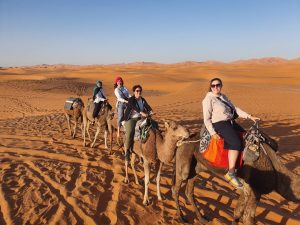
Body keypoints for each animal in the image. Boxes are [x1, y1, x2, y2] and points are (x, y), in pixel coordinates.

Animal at [171, 124, 300, 224]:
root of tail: (181, 141)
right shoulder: (255, 191)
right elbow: (248, 218)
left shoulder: (247, 189)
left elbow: (237, 212)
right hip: (184, 162)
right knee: (176, 188)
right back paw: (181, 218)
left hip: (197, 167)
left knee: (189, 191)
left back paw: (202, 219)